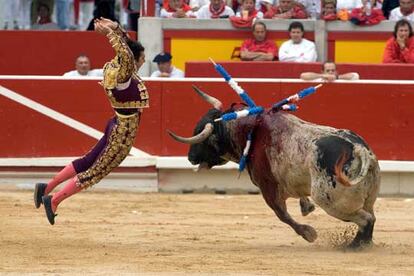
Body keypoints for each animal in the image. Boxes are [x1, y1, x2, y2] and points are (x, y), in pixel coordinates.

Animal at [169, 86, 382, 248]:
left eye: (201, 137)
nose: (190, 157)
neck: (250, 131)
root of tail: (359, 149)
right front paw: (306, 208)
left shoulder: (267, 187)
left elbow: (282, 215)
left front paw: (309, 233)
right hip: (367, 196)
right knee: (371, 217)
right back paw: (363, 244)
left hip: (331, 200)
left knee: (366, 219)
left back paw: (354, 246)